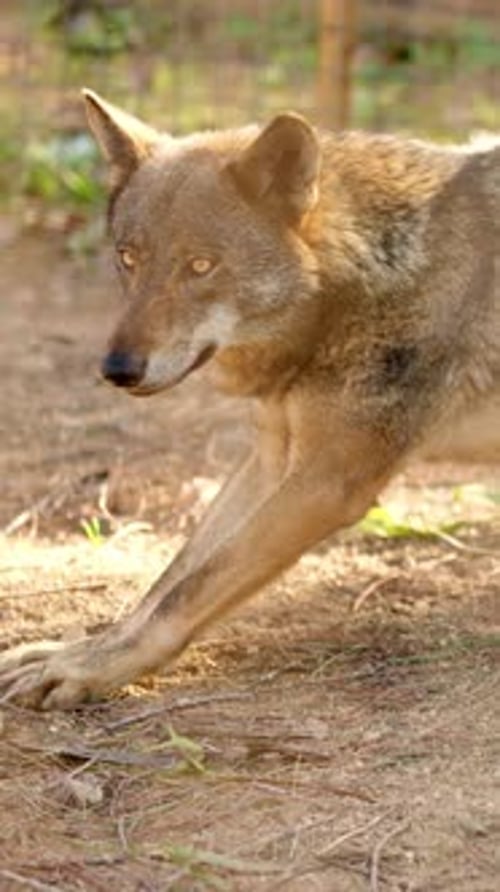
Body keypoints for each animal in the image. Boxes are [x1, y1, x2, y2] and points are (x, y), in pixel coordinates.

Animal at [0, 91, 498, 708]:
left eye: (201, 265)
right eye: (128, 257)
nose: (117, 369)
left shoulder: (328, 482)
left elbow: (187, 592)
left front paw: (89, 668)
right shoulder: (272, 459)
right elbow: (168, 580)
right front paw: (81, 649)